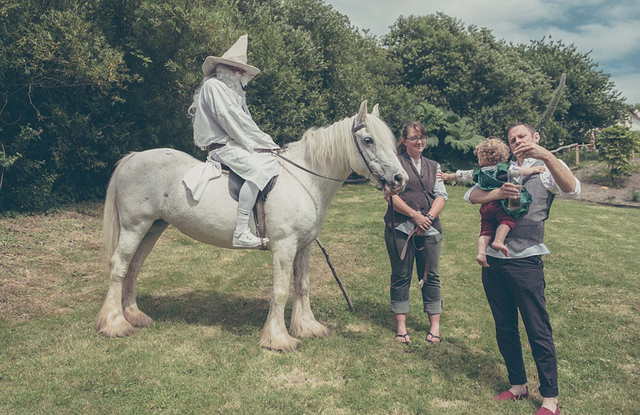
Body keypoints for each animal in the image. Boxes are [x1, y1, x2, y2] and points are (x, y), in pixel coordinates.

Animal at [96, 101, 404, 352]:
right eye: (368, 140)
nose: (400, 179)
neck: (304, 180)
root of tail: (134, 157)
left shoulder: (303, 247)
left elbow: (302, 285)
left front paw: (307, 327)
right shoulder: (284, 247)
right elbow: (280, 291)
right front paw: (278, 339)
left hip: (153, 228)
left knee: (133, 268)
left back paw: (135, 316)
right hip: (135, 227)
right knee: (119, 267)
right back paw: (115, 323)